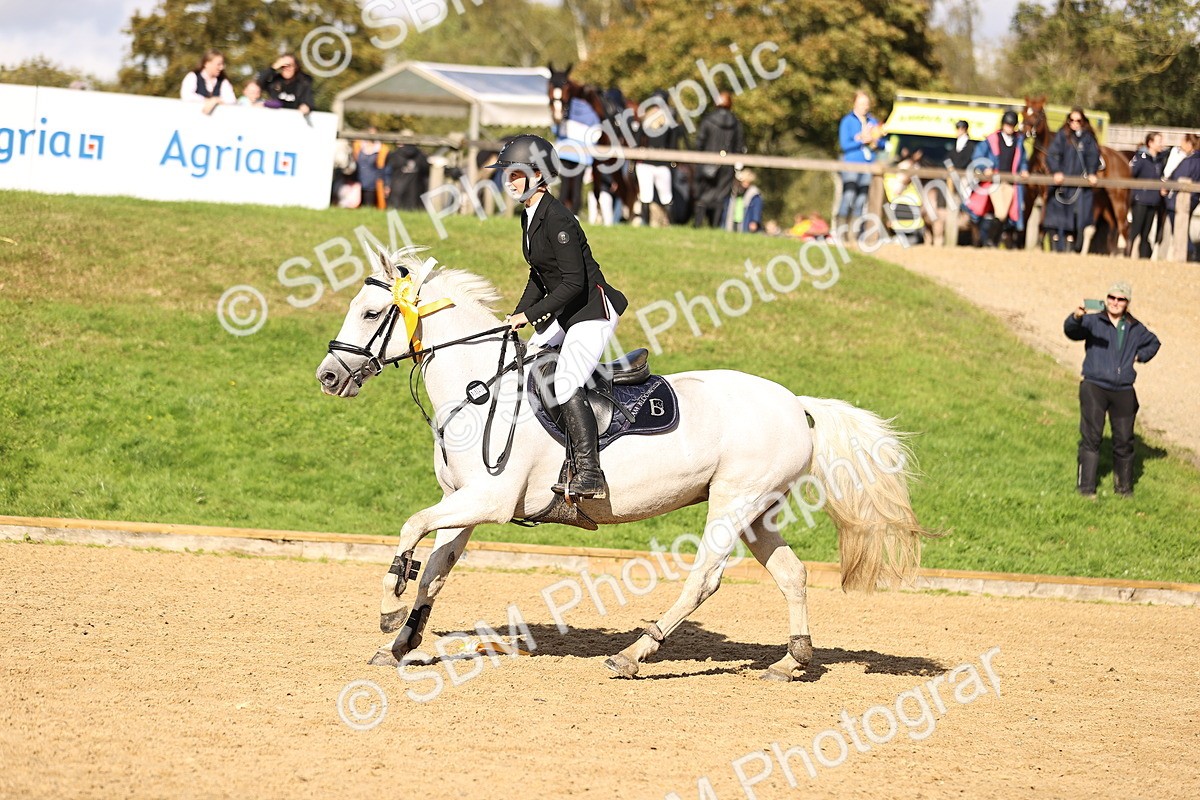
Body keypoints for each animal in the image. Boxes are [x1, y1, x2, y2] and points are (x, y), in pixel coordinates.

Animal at [315, 247, 933, 681]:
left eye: (371, 312)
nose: (327, 376)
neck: (479, 387)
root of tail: (796, 403)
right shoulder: (463, 504)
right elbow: (437, 570)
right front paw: (399, 642)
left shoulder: (488, 502)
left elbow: (410, 529)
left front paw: (388, 604)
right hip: (759, 510)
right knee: (792, 574)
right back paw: (791, 660)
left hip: (733, 501)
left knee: (704, 579)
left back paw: (633, 655)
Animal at [548, 63, 639, 223]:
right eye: (551, 84)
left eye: (565, 85)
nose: (557, 114)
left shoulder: (593, 160)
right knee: (623, 190)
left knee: (629, 190)